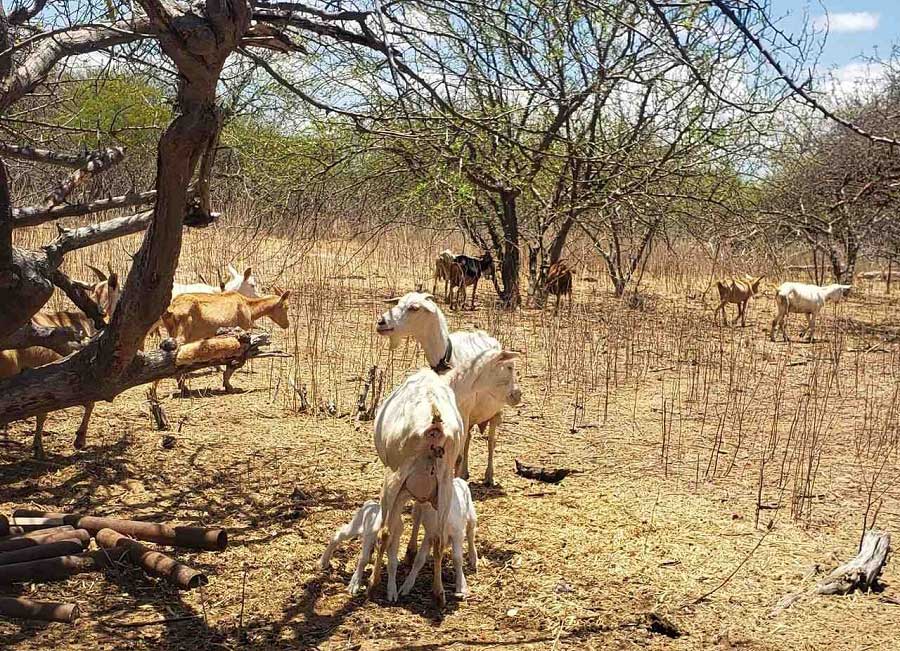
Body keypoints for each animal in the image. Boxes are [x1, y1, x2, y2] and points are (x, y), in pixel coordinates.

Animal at [374, 292, 512, 486]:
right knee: (468, 439)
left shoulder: (464, 412)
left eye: (414, 308)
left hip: (496, 411)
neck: (448, 359)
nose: (382, 322)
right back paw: (465, 473)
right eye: (398, 302)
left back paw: (489, 476)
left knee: (491, 440)